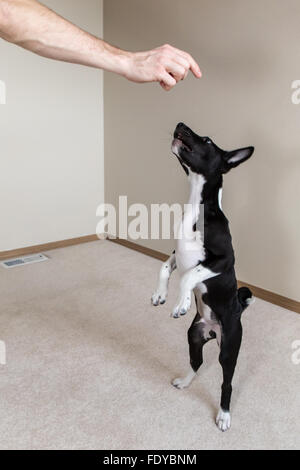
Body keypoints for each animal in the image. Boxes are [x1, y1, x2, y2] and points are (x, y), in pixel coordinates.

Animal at [151, 123, 254, 432]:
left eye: (207, 140)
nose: (180, 125)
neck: (197, 207)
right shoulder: (176, 252)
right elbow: (165, 267)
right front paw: (160, 294)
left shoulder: (222, 261)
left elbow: (189, 276)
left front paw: (181, 302)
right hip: (193, 337)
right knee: (195, 363)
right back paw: (184, 382)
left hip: (228, 350)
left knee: (227, 384)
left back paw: (224, 415)